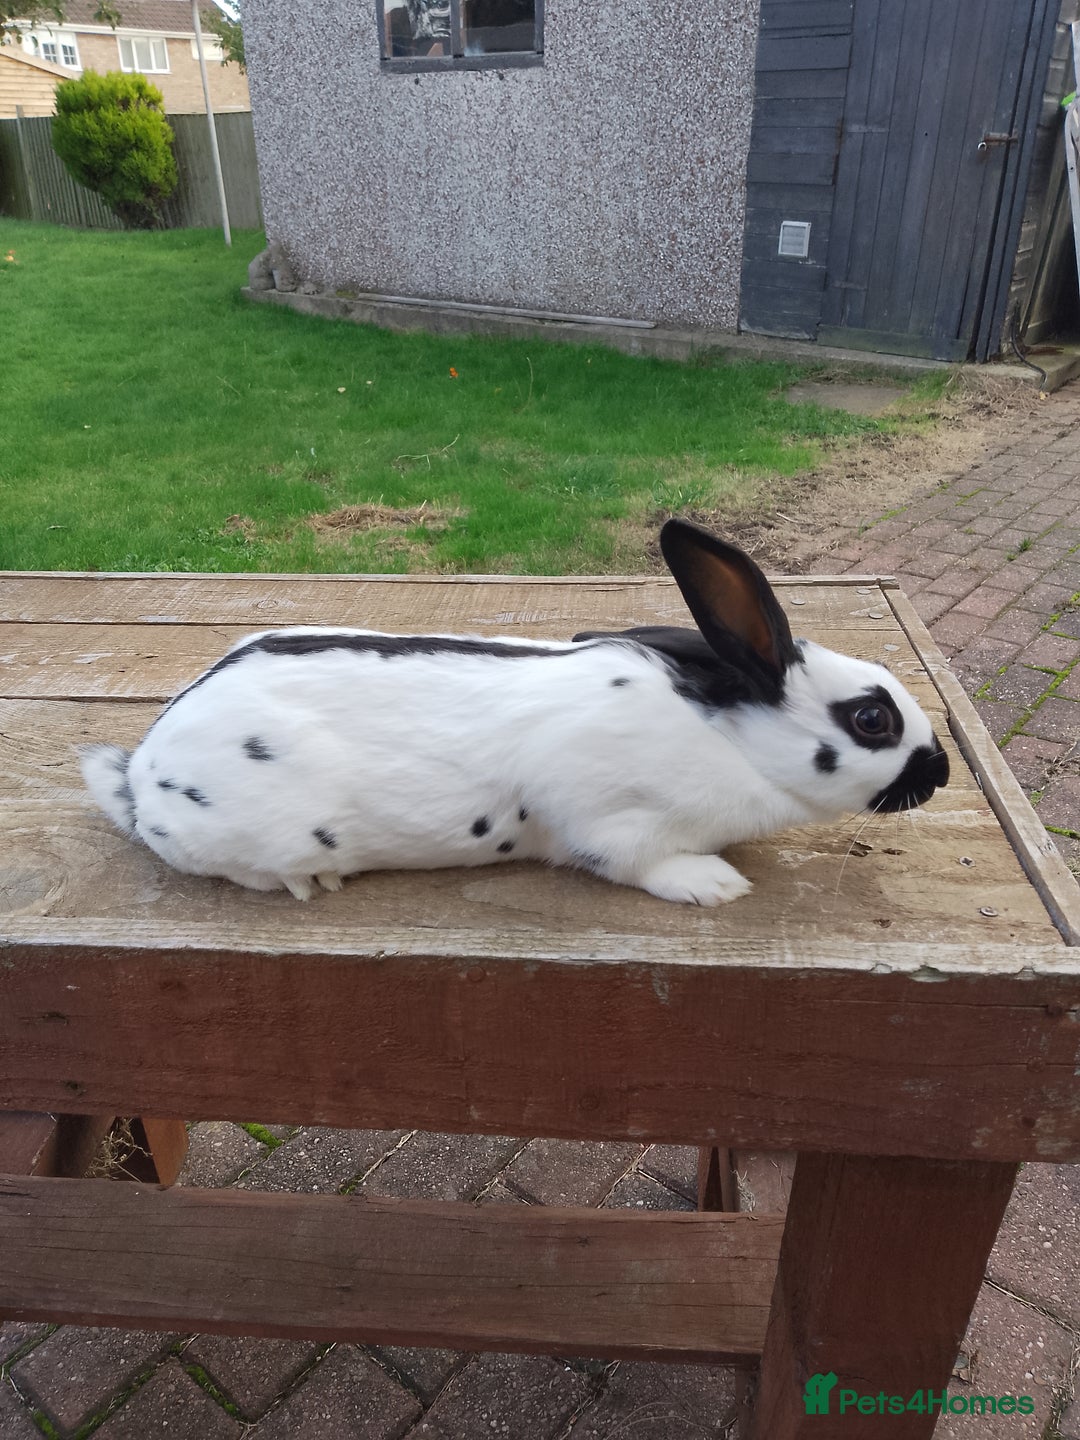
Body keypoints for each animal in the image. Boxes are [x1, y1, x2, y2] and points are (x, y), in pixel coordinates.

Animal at [80, 519, 949, 905]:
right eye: (872, 720)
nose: (939, 772)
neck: (732, 741)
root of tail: (145, 772)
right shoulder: (610, 817)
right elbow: (640, 863)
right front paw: (715, 884)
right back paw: (314, 880)